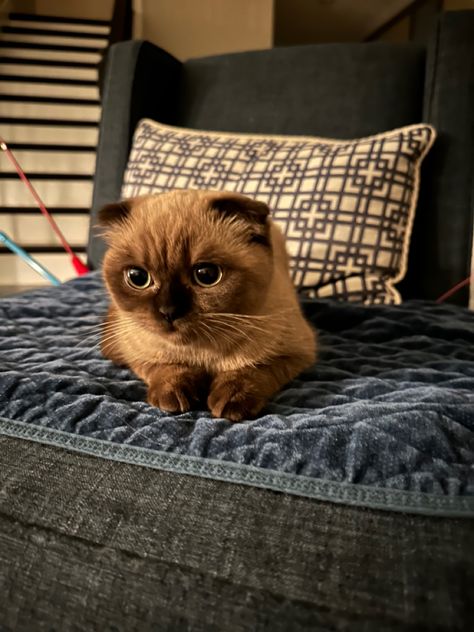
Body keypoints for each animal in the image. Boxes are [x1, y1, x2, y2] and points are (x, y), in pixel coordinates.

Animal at [98, 190, 316, 422]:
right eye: (138, 277)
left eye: (207, 275)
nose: (168, 312)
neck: (202, 355)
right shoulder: (138, 355)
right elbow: (167, 368)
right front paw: (175, 395)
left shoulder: (293, 355)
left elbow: (251, 371)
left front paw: (232, 401)